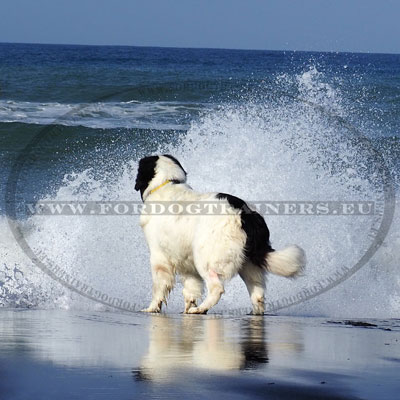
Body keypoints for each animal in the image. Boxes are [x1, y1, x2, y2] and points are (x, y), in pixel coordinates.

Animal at [135, 155, 306, 314]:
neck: (167, 184)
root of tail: (244, 213)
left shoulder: (159, 257)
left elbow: (159, 287)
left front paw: (151, 308)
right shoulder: (186, 262)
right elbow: (191, 289)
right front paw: (186, 308)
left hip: (207, 259)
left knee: (217, 288)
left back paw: (200, 309)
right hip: (248, 264)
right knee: (258, 294)